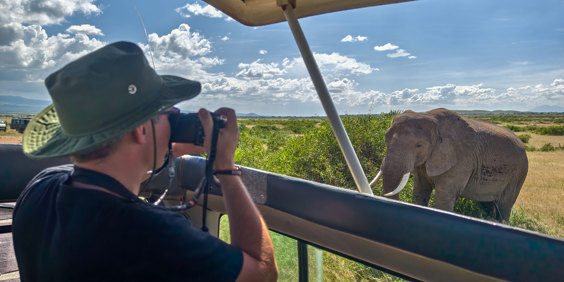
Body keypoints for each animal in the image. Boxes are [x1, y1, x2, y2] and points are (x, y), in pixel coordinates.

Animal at [370, 107, 528, 220]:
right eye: (386, 137)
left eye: (419, 145)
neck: (432, 118)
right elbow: (420, 191)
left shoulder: (462, 159)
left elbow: (443, 199)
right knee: (487, 205)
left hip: (518, 174)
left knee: (504, 207)